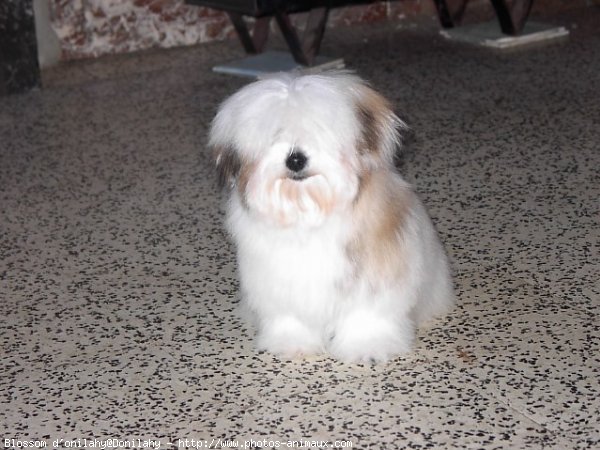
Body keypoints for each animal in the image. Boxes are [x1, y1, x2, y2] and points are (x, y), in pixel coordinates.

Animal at [209, 72, 452, 364]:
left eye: (317, 131)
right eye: (275, 135)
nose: (295, 158)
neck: (311, 212)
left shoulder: (373, 276)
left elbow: (367, 314)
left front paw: (367, 346)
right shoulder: (279, 280)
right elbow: (290, 316)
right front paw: (293, 344)